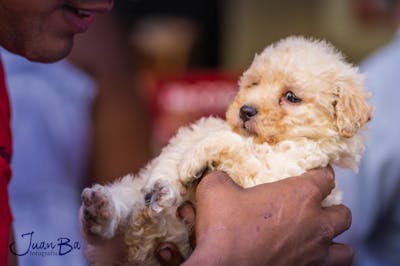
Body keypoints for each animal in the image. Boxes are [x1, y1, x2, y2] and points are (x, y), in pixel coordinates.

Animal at [80, 35, 372, 266]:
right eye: (254, 84)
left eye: (291, 97)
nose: (245, 110)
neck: (264, 141)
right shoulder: (196, 130)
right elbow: (176, 152)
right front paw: (164, 184)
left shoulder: (275, 174)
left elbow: (229, 144)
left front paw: (191, 162)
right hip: (129, 206)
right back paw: (103, 209)